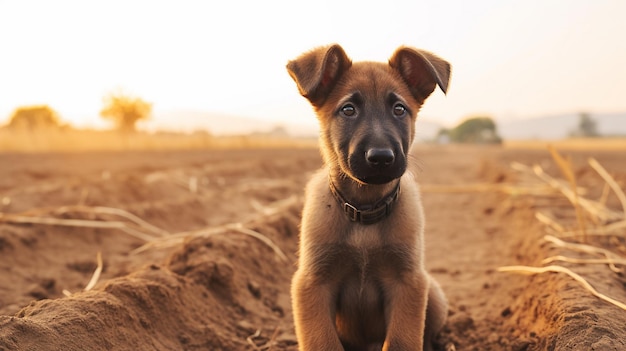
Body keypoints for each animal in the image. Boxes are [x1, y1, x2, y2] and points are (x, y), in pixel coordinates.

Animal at [286, 44, 450, 351]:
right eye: (348, 110)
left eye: (399, 109)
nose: (381, 158)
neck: (364, 212)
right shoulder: (313, 283)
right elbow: (323, 342)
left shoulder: (408, 282)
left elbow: (401, 341)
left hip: (432, 292)